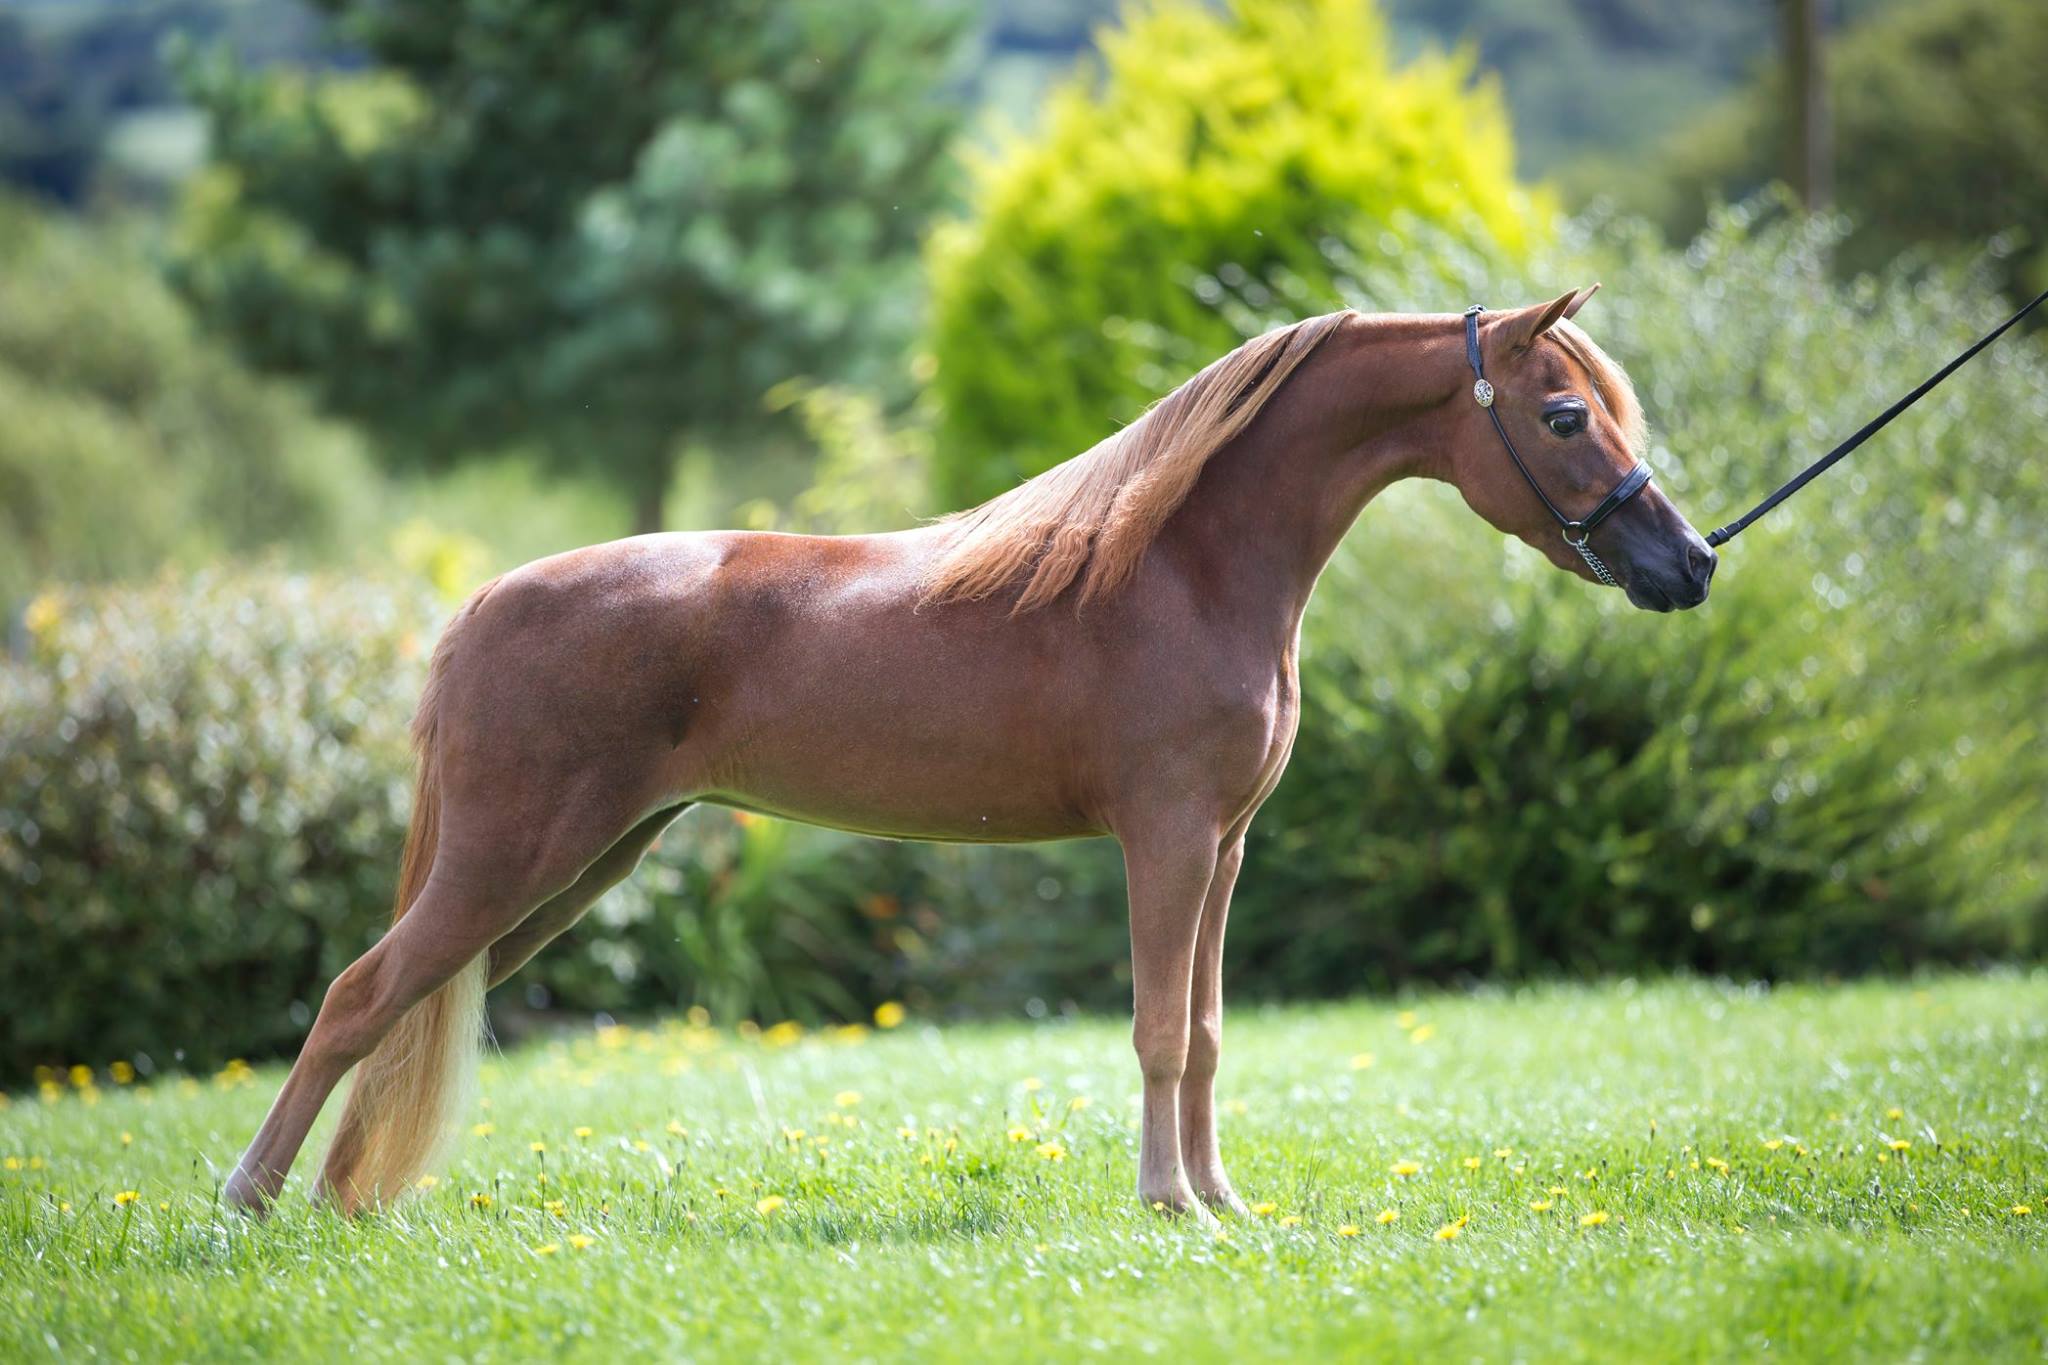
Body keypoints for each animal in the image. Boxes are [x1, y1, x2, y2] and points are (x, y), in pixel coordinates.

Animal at [224, 287, 1715, 1220]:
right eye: (1565, 415)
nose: (1687, 564)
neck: (1185, 569)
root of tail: (479, 605)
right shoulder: (1166, 841)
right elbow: (1159, 1026)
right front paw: (1169, 1204)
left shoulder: (1224, 851)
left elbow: (1208, 1030)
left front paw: (1223, 1198)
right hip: (511, 859)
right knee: (359, 996)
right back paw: (249, 1199)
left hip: (570, 873)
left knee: (414, 1003)